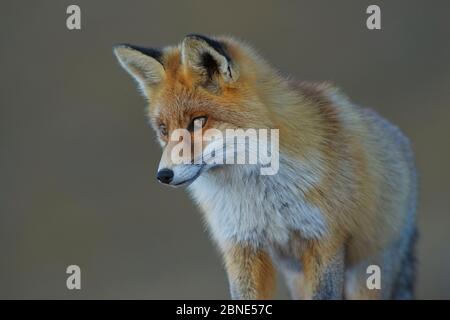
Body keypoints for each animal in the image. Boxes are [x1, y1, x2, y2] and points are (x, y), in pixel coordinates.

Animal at [113, 35, 418, 300]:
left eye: (198, 121)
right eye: (163, 130)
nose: (163, 175)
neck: (259, 191)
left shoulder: (325, 240)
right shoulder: (242, 245)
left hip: (365, 275)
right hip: (296, 275)